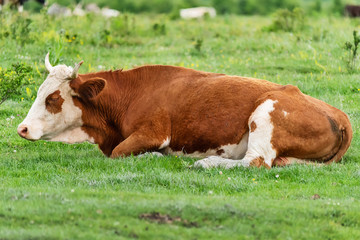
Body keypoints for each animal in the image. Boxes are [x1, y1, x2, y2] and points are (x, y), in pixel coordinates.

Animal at [16, 53, 352, 169]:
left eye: (53, 98)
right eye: (39, 92)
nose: (22, 128)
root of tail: (340, 115)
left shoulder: (153, 132)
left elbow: (121, 152)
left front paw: (154, 156)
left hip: (264, 112)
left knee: (255, 162)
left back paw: (206, 162)